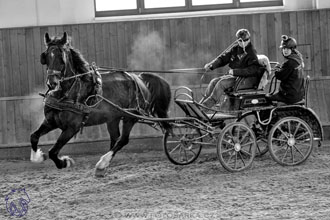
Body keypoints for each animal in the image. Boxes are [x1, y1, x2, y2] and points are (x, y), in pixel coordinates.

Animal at [30, 32, 173, 177]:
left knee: (123, 140)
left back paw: (102, 163)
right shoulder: (50, 121)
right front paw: (39, 156)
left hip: (130, 117)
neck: (68, 93)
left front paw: (65, 162)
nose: (52, 83)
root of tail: (140, 78)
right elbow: (34, 137)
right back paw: (104, 166)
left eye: (61, 57)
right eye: (46, 56)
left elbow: (53, 152)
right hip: (113, 118)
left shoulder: (72, 128)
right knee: (115, 139)